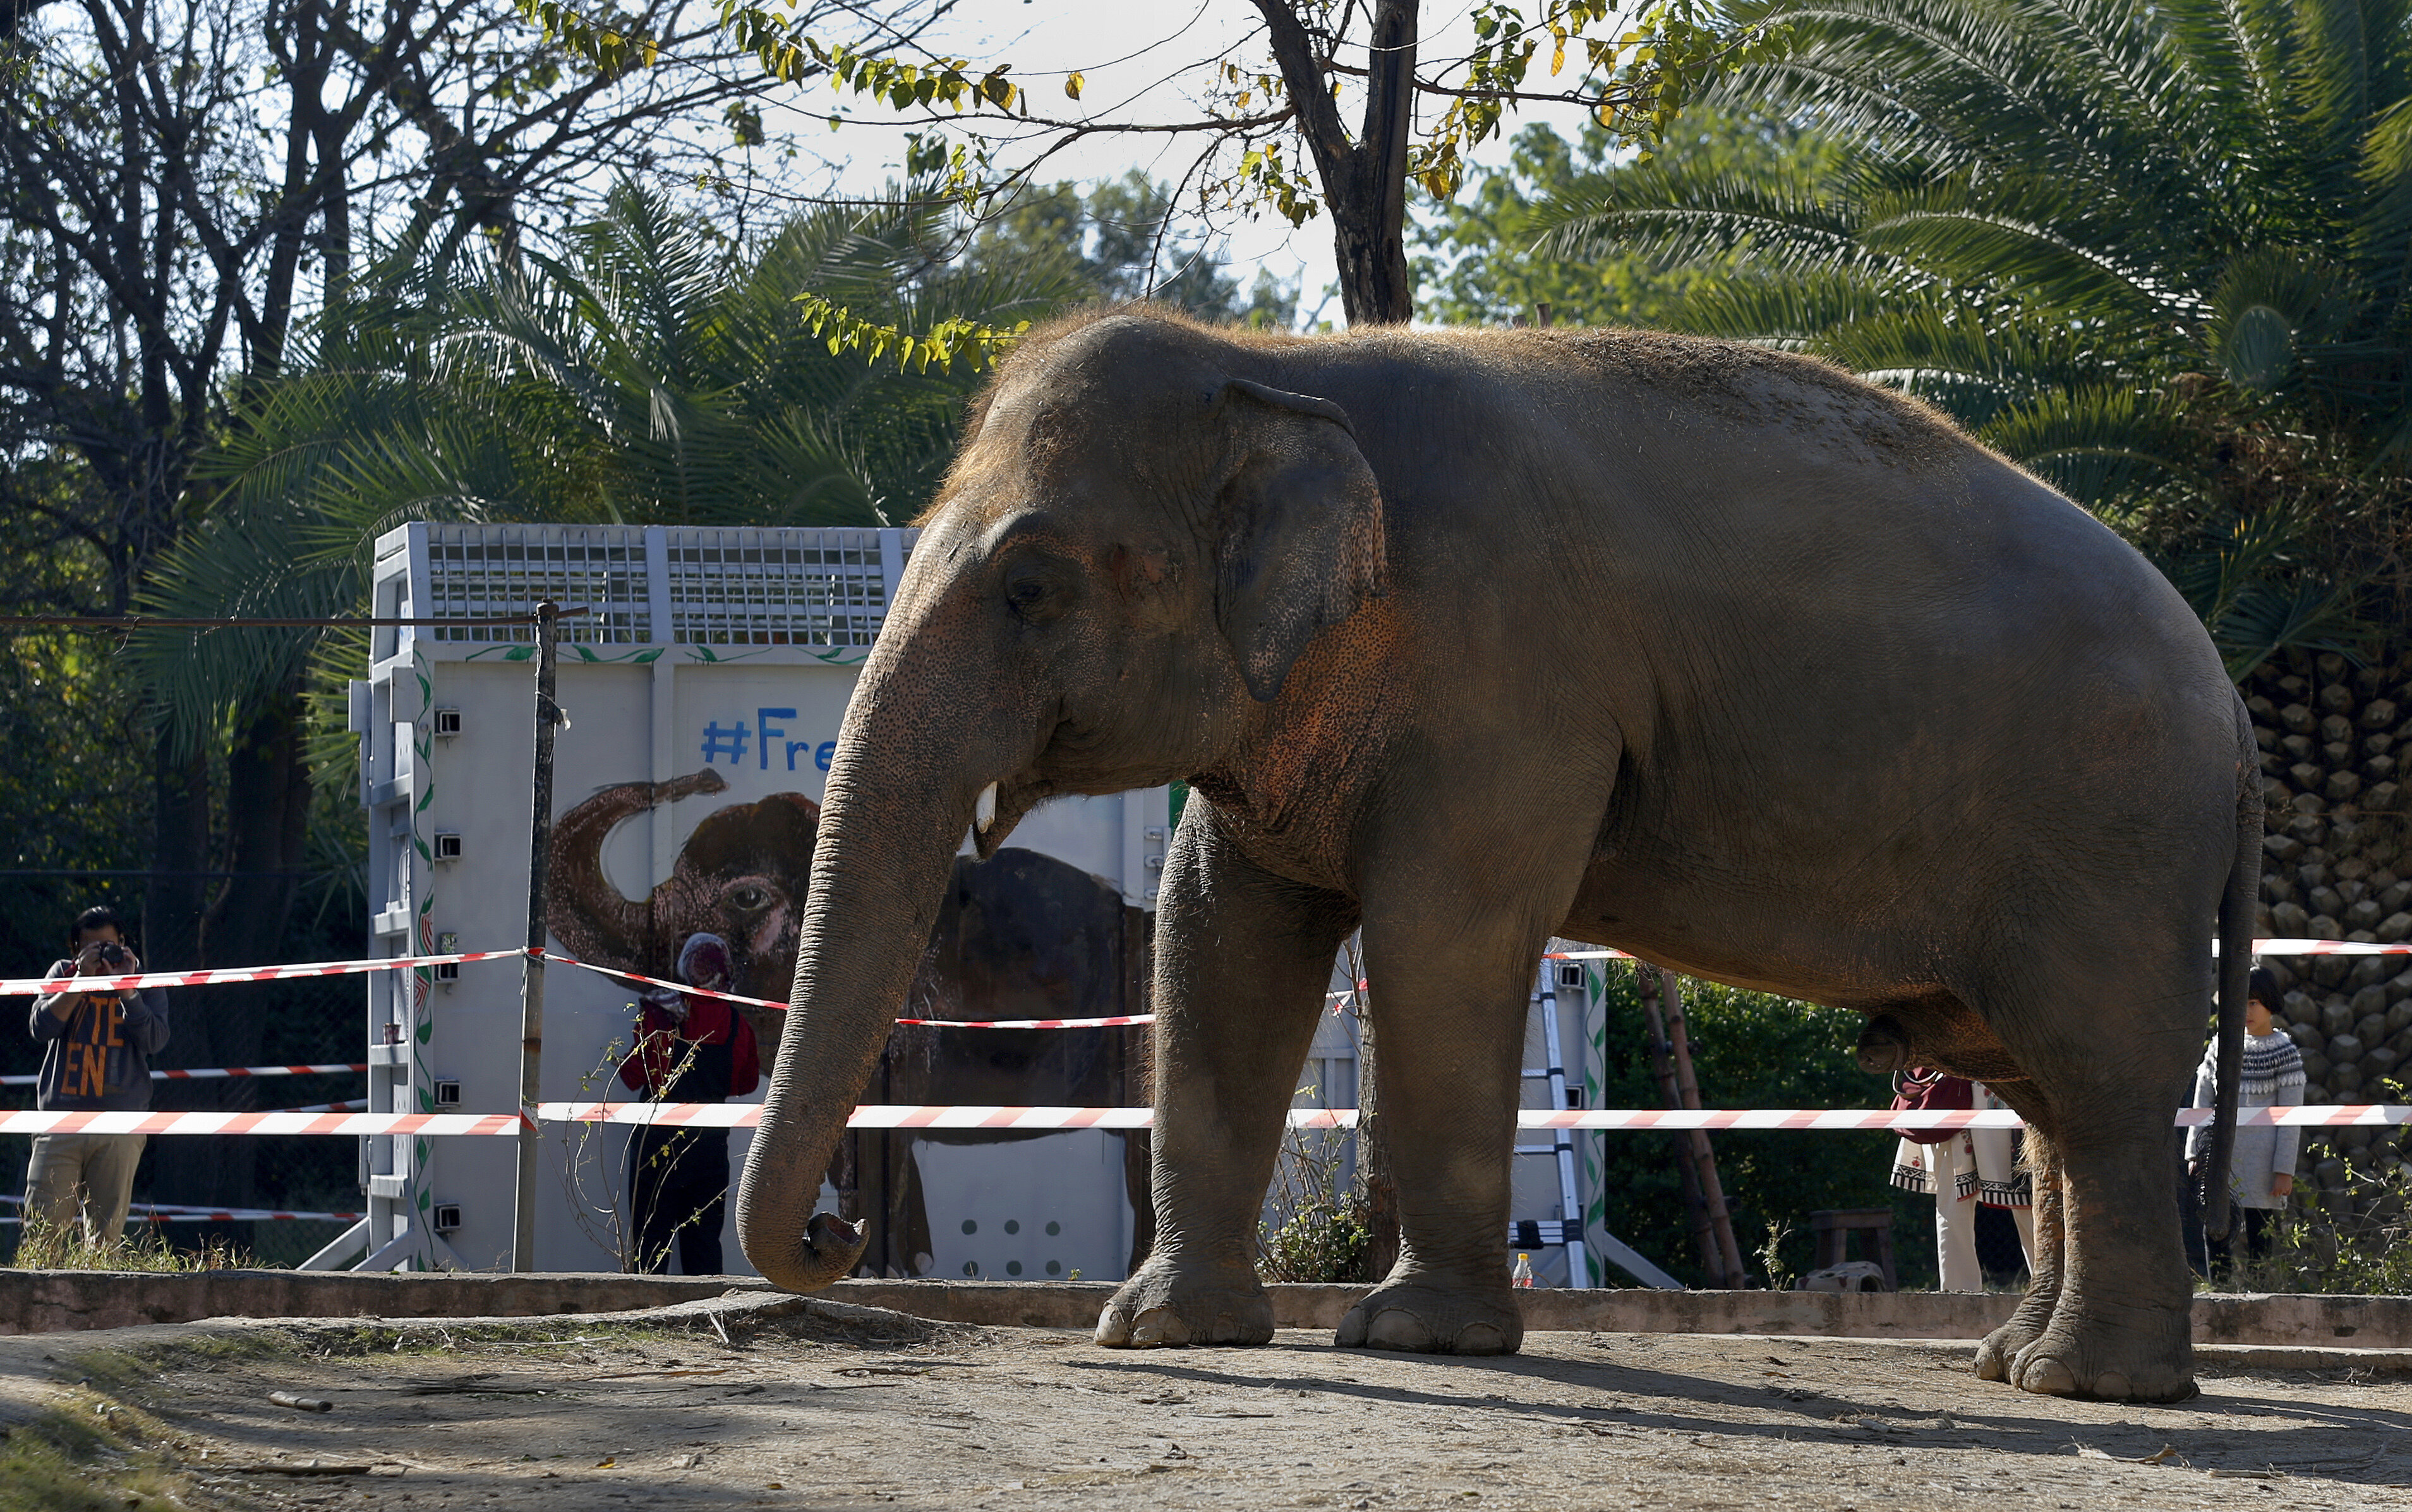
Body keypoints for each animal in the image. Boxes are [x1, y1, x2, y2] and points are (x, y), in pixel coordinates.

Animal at [733, 307, 2257, 1408]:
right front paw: (1162, 1333)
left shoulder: (1509, 673)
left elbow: (1439, 936)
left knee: (2095, 1085)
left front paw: (1414, 1340)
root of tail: (2234, 701)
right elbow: (1218, 932)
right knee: (2041, 1091)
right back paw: (2015, 1367)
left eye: (1031, 587)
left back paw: (2093, 1387)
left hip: (2113, 837)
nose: (840, 1238)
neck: (1277, 367)